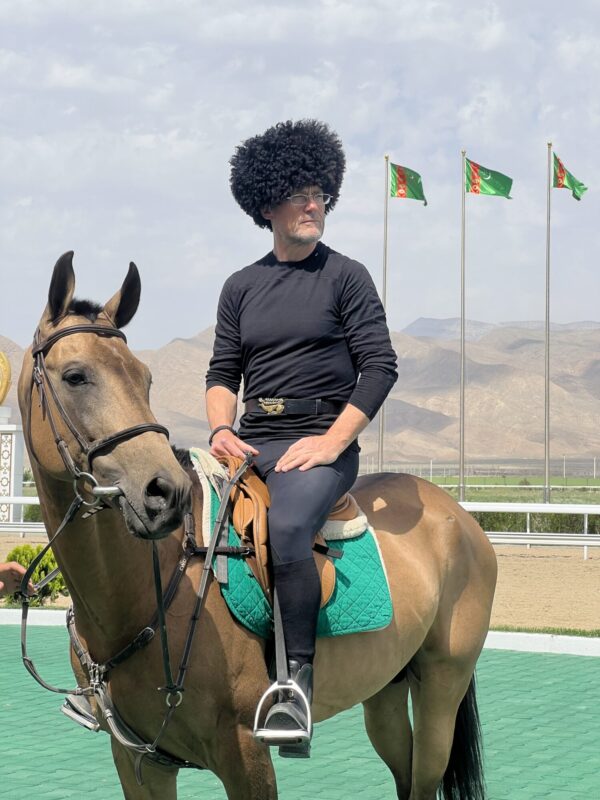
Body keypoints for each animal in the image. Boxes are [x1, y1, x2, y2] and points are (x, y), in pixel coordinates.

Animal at [18, 252, 497, 800]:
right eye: (76, 376)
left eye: (145, 378)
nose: (164, 493)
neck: (148, 593)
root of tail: (457, 515)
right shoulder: (139, 760)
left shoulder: (245, 755)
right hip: (386, 691)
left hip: (442, 688)